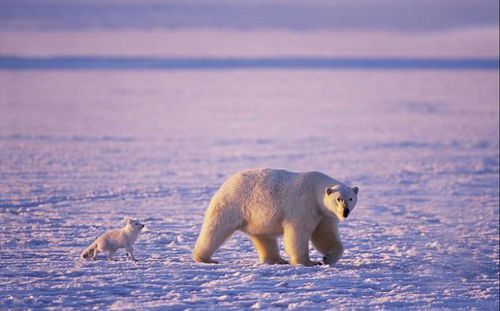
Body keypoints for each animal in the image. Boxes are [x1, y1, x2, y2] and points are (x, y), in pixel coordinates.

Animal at [192, 169, 360, 266]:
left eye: (351, 198)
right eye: (338, 199)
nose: (345, 212)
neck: (315, 189)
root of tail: (227, 182)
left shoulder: (324, 214)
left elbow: (324, 235)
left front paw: (328, 258)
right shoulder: (303, 204)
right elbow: (298, 232)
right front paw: (308, 262)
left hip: (256, 218)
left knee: (264, 237)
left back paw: (277, 260)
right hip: (232, 204)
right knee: (216, 229)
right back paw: (205, 258)